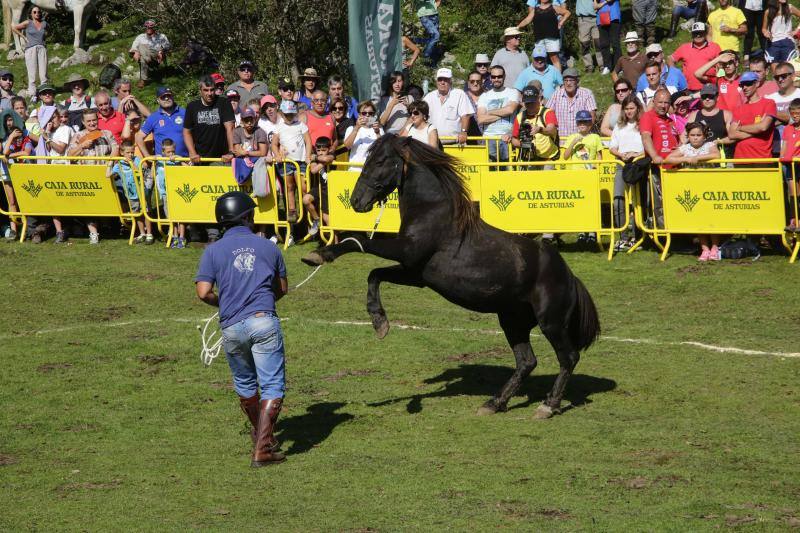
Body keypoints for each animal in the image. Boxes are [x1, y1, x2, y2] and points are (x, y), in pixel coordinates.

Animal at [304, 135, 600, 418]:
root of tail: (569, 276)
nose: (356, 201)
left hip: (551, 323)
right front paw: (379, 322)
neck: (432, 211)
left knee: (568, 357)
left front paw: (319, 256)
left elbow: (358, 242)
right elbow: (374, 274)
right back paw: (494, 403)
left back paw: (548, 406)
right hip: (512, 321)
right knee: (527, 362)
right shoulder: (415, 273)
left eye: (380, 161)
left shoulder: (406, 252)